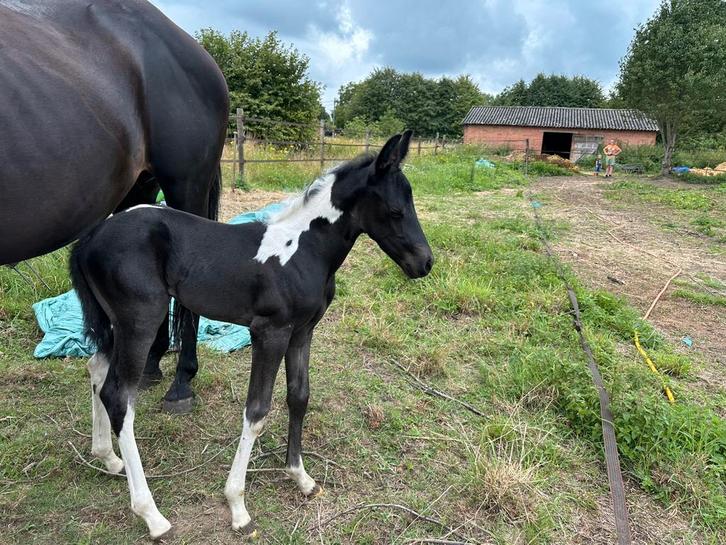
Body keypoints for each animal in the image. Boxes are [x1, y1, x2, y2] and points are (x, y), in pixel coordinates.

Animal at [69, 131, 433, 539]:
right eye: (396, 210)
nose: (425, 263)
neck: (302, 249)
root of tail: (91, 238)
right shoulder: (269, 332)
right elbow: (256, 410)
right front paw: (237, 506)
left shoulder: (302, 331)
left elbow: (299, 397)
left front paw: (301, 478)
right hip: (140, 321)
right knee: (120, 397)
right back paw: (152, 515)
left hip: (114, 322)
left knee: (97, 369)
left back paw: (108, 458)